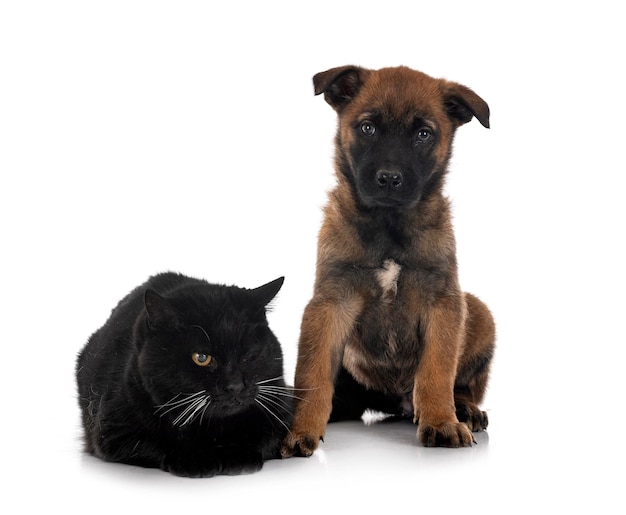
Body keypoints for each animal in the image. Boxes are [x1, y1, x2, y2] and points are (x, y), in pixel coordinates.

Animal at [76, 272, 292, 478]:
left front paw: (237, 457)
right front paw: (196, 460)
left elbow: (261, 437)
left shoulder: (283, 415)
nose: (235, 386)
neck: (213, 428)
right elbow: (157, 442)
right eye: (201, 357)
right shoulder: (115, 432)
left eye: (249, 354)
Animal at [282, 66, 492, 458]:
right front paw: (299, 428)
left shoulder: (443, 301)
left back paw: (465, 410)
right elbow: (312, 374)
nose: (390, 178)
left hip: (479, 312)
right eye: (367, 127)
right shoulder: (330, 303)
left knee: (462, 385)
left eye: (424, 134)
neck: (388, 225)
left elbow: (437, 369)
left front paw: (441, 421)